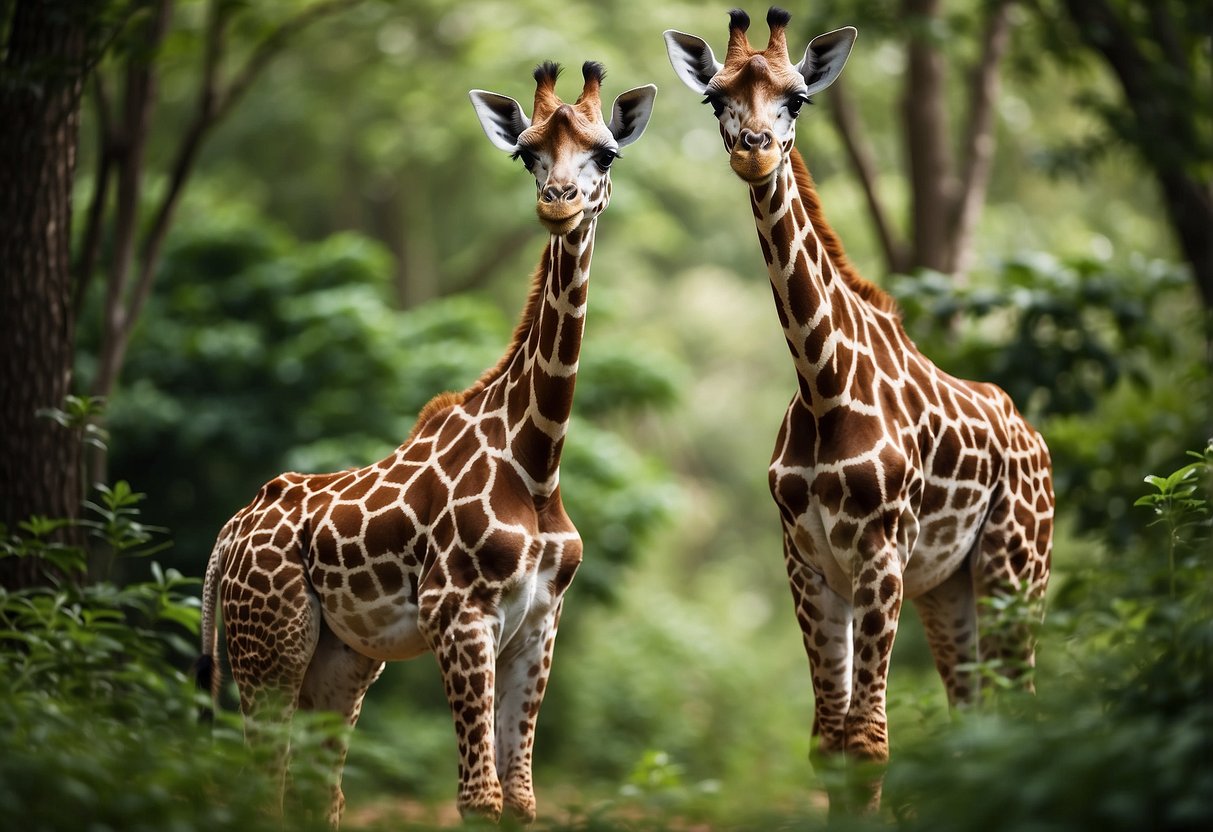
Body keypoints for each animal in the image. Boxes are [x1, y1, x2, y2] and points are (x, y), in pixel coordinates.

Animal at [196, 60, 655, 829]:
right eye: (527, 153)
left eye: (606, 153)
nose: (558, 203)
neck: (538, 463)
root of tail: (228, 534)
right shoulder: (457, 614)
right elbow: (479, 798)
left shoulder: (539, 624)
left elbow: (520, 799)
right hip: (269, 645)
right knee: (261, 785)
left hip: (340, 659)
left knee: (318, 794)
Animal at [664, 6, 1052, 815]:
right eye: (716, 99)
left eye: (797, 97)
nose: (754, 152)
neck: (822, 383)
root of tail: (1035, 441)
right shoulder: (807, 561)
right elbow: (830, 748)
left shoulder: (879, 555)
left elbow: (868, 743)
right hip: (948, 585)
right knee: (975, 714)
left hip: (1014, 568)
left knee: (1024, 707)